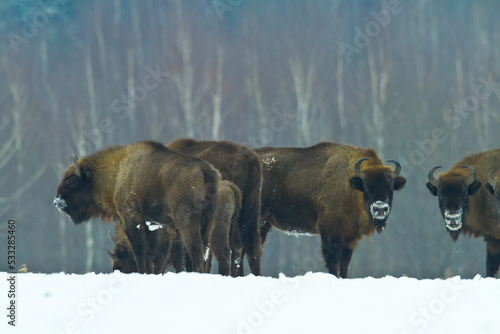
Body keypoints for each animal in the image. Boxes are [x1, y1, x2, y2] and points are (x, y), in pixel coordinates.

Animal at [53, 141, 220, 274]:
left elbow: (140, 251)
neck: (119, 172)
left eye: (71, 181)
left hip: (187, 223)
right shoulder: (152, 225)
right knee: (204, 251)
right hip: (207, 223)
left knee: (195, 250)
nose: (57, 202)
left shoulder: (132, 221)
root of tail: (205, 170)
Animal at [108, 180, 244, 276]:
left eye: (122, 262)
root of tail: (229, 187)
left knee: (224, 253)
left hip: (216, 232)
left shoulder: (169, 240)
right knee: (235, 254)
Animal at [254, 142, 406, 278]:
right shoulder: (330, 234)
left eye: (391, 188)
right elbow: (333, 263)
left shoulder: (350, 239)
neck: (350, 187)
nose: (380, 208)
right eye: (367, 187)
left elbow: (345, 264)